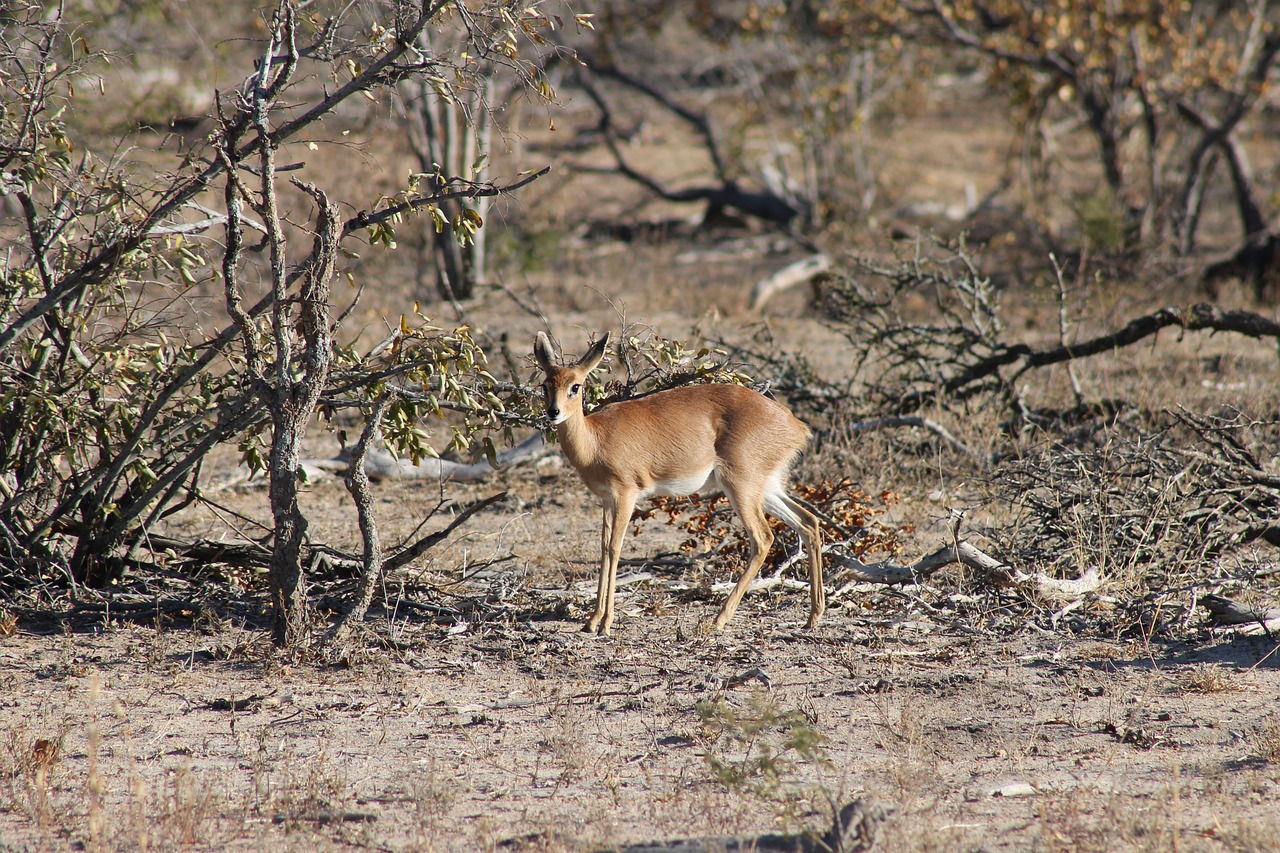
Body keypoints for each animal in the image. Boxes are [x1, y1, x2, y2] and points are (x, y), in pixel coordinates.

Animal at [535, 330, 824, 630]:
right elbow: (603, 549)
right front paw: (592, 621)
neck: (595, 440)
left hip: (741, 487)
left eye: (575, 386)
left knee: (764, 538)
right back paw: (813, 616)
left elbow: (615, 549)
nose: (553, 412)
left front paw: (605, 623)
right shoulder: (606, 500)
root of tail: (796, 425)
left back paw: (720, 618)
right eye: (545, 385)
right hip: (766, 488)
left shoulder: (626, 494)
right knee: (808, 522)